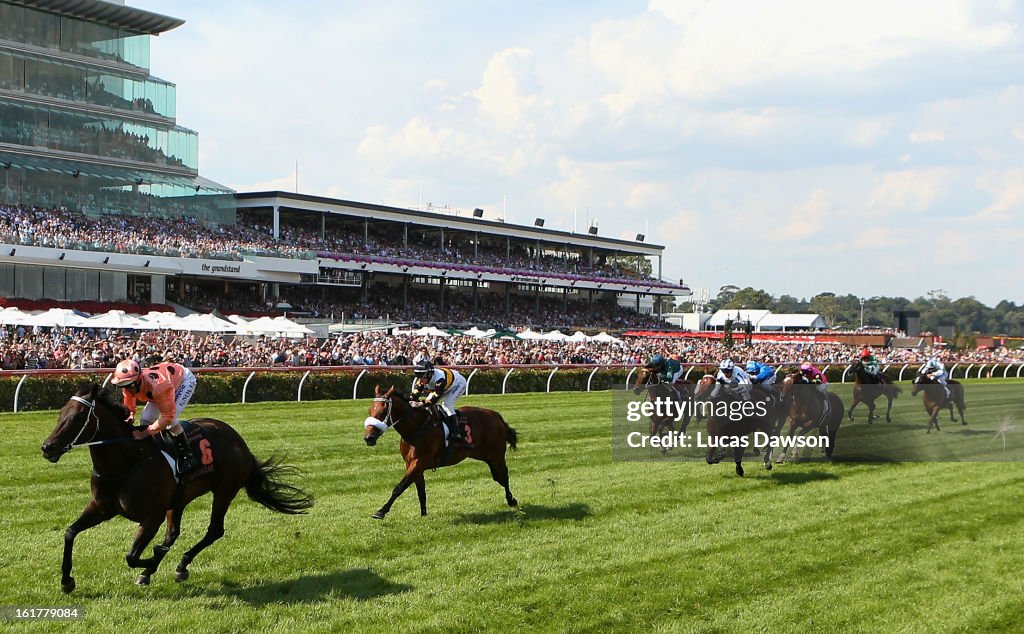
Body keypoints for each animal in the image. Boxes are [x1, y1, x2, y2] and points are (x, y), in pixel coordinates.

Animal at [39, 381, 311, 594]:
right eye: (60, 413)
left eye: (77, 417)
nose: (47, 447)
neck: (126, 463)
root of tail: (239, 441)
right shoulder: (102, 507)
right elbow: (70, 532)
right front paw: (66, 581)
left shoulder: (152, 516)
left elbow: (132, 556)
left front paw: (152, 560)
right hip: (179, 499)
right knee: (174, 533)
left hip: (225, 489)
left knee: (214, 530)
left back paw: (180, 566)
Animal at [362, 385, 520, 518]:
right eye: (370, 410)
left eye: (383, 411)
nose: (368, 438)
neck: (417, 428)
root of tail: (496, 415)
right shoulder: (411, 464)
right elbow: (420, 490)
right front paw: (423, 514)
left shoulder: (419, 462)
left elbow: (400, 486)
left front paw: (381, 511)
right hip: (485, 456)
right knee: (498, 477)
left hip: (497, 456)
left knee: (504, 476)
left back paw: (511, 500)